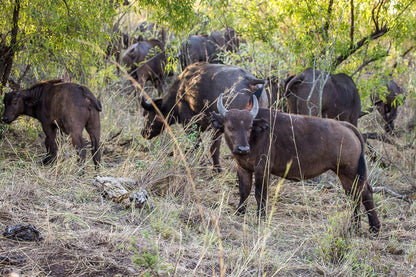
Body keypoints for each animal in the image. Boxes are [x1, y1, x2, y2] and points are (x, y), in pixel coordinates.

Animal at [211, 94, 380, 232]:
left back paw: (372, 227)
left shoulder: (262, 169)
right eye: (230, 127)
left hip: (350, 171)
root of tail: (347, 126)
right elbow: (244, 191)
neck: (254, 138)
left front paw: (261, 217)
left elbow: (260, 194)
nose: (243, 149)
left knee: (364, 193)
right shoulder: (243, 168)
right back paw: (359, 227)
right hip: (345, 174)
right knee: (355, 195)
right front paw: (239, 212)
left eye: (249, 127)